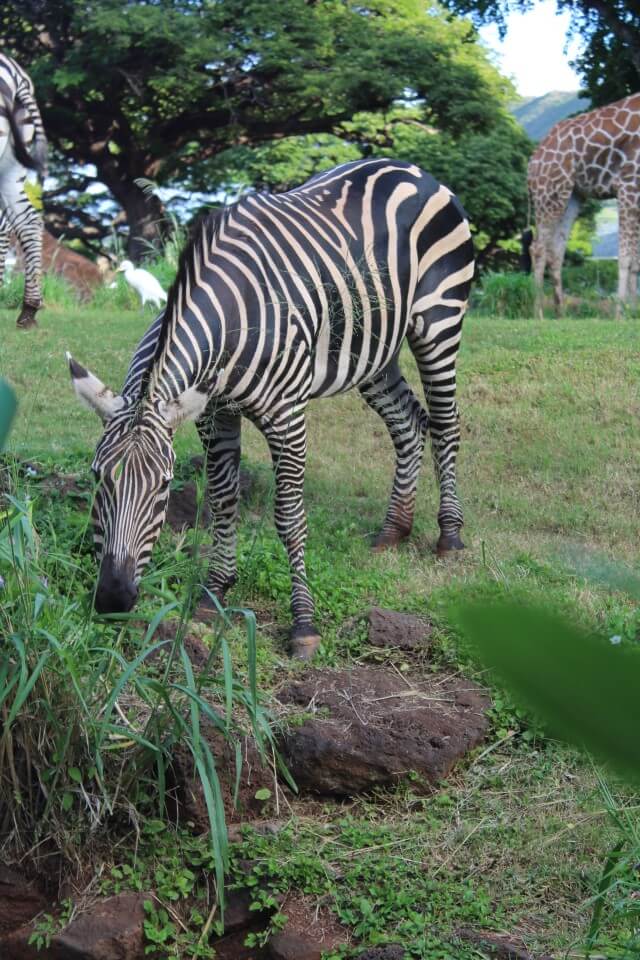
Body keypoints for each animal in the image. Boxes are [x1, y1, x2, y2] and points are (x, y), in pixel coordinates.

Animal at [67, 159, 472, 660]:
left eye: (163, 487)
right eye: (96, 477)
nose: (113, 600)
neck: (232, 313)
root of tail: (410, 167)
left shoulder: (287, 417)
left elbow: (289, 517)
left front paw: (304, 625)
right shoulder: (213, 415)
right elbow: (222, 501)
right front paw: (214, 593)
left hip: (439, 321)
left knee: (446, 422)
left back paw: (449, 535)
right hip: (373, 349)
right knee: (409, 424)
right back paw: (393, 530)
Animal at [528, 96, 640, 316]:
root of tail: (532, 163)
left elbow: (635, 260)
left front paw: (633, 312)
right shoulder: (627, 185)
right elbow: (625, 257)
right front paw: (620, 314)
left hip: (572, 195)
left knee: (556, 249)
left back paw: (561, 313)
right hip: (549, 192)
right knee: (537, 247)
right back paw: (539, 314)